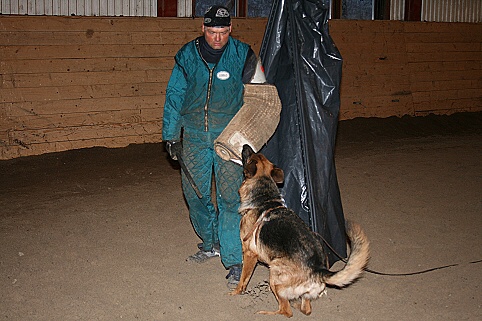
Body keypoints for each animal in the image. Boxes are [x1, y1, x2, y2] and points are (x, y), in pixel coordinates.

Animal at [230, 146, 370, 318]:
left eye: (250, 156)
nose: (245, 146)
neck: (264, 197)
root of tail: (318, 269)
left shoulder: (249, 253)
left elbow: (244, 278)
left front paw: (236, 292)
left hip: (274, 275)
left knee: (286, 311)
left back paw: (266, 312)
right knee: (306, 309)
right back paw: (296, 303)